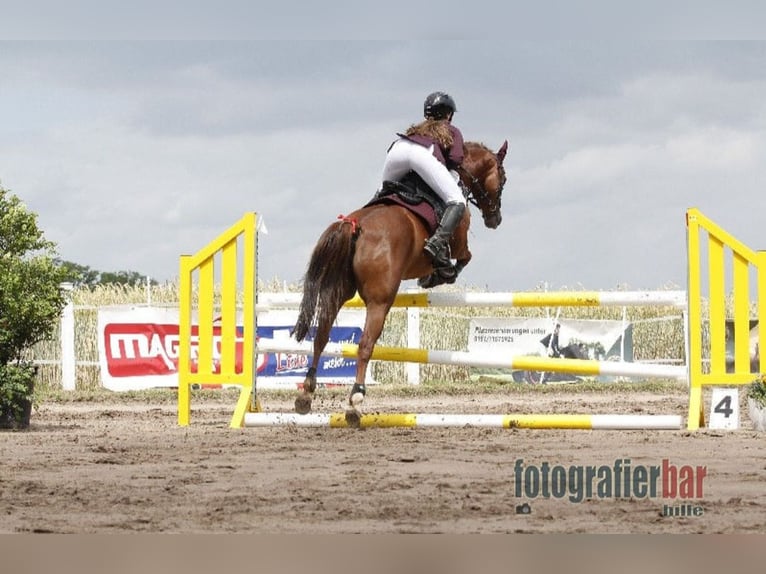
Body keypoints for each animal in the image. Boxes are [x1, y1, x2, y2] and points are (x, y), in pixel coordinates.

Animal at [292, 141, 508, 426]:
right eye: (503, 179)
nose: (495, 219)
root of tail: (354, 224)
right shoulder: (460, 236)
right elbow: (463, 258)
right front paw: (441, 272)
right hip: (380, 301)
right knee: (365, 345)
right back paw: (355, 401)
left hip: (337, 291)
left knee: (321, 337)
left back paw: (306, 394)